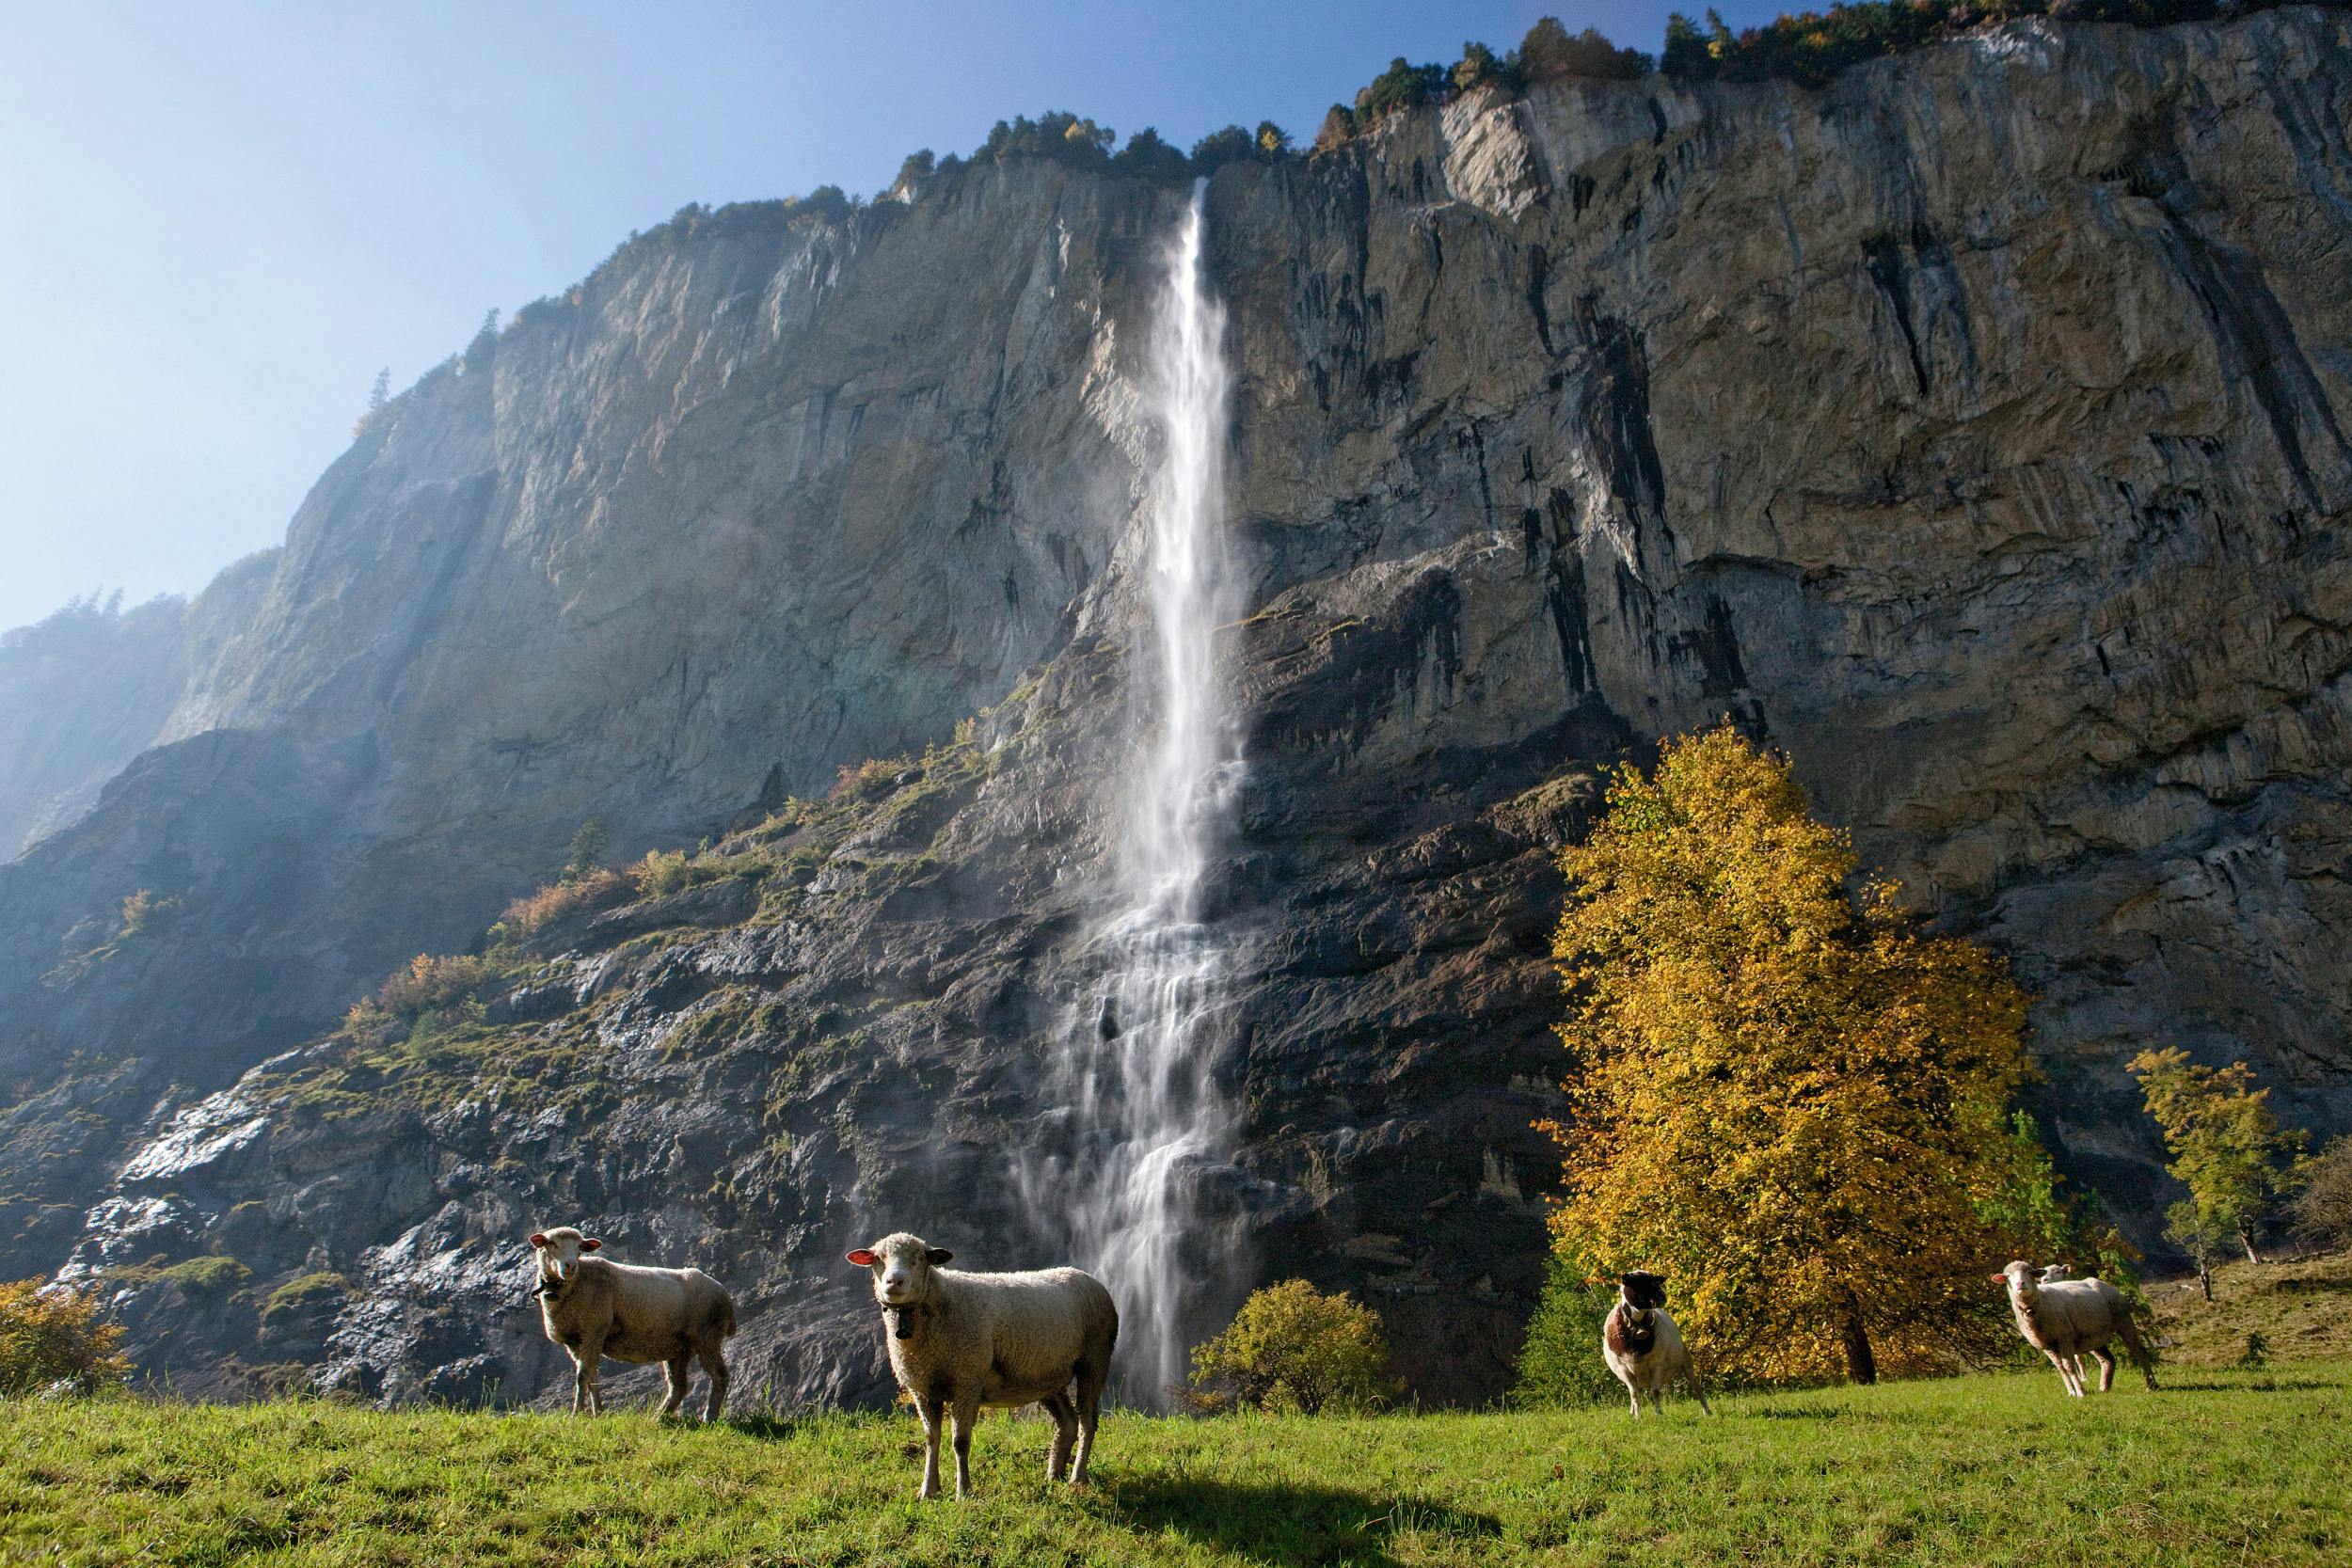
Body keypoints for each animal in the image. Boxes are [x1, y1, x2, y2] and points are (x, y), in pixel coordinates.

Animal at [528, 1226, 736, 1419]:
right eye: (551, 1243)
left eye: (579, 1247)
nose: (570, 1266)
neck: (576, 1282)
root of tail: (724, 1294)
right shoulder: (576, 1341)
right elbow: (592, 1378)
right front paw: (598, 1413)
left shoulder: (594, 1330)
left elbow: (582, 1376)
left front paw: (576, 1414)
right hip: (681, 1347)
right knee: (679, 1386)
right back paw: (659, 1417)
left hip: (707, 1336)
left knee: (719, 1376)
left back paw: (709, 1417)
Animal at [846, 1232, 1117, 1500]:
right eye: (878, 1258)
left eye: (920, 1258)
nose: (894, 1282)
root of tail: (1085, 1275)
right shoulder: (923, 1389)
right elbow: (931, 1438)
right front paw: (928, 1490)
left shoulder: (967, 1381)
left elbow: (960, 1441)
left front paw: (963, 1492)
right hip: (1047, 1376)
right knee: (1067, 1422)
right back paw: (1054, 1474)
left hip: (1094, 1360)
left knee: (1087, 1422)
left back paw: (1077, 1476)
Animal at [1600, 1271, 1712, 1418]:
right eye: (1637, 1282)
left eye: (1655, 1280)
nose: (1662, 1296)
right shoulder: (1623, 1369)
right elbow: (1634, 1395)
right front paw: (1637, 1417)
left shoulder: (1656, 1363)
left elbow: (1655, 1392)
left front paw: (1658, 1415)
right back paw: (1632, 1413)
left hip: (1686, 1361)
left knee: (1696, 1387)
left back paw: (1707, 1412)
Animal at [1993, 1259, 2157, 1396]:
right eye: (2008, 1276)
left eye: (2030, 1273)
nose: (2020, 1284)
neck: (2040, 1305)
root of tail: (2100, 1282)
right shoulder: (2046, 1347)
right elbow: (2061, 1369)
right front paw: (2071, 1392)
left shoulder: (2064, 1338)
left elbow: (2069, 1367)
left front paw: (2080, 1392)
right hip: (2094, 1336)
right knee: (2107, 1360)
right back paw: (2104, 1387)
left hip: (2123, 1320)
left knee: (2139, 1351)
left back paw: (2151, 1385)